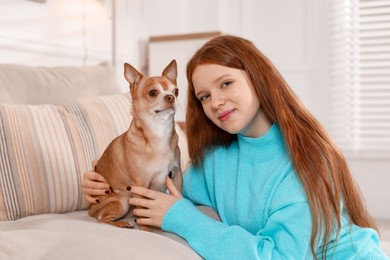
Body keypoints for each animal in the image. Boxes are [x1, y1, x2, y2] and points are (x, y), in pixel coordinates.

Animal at [89, 59, 184, 230]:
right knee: (103, 220)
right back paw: (123, 223)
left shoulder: (177, 175)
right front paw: (147, 231)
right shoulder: (140, 184)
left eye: (176, 91)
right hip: (122, 200)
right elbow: (144, 212)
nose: (171, 97)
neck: (160, 133)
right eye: (153, 92)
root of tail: (90, 209)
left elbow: (178, 196)